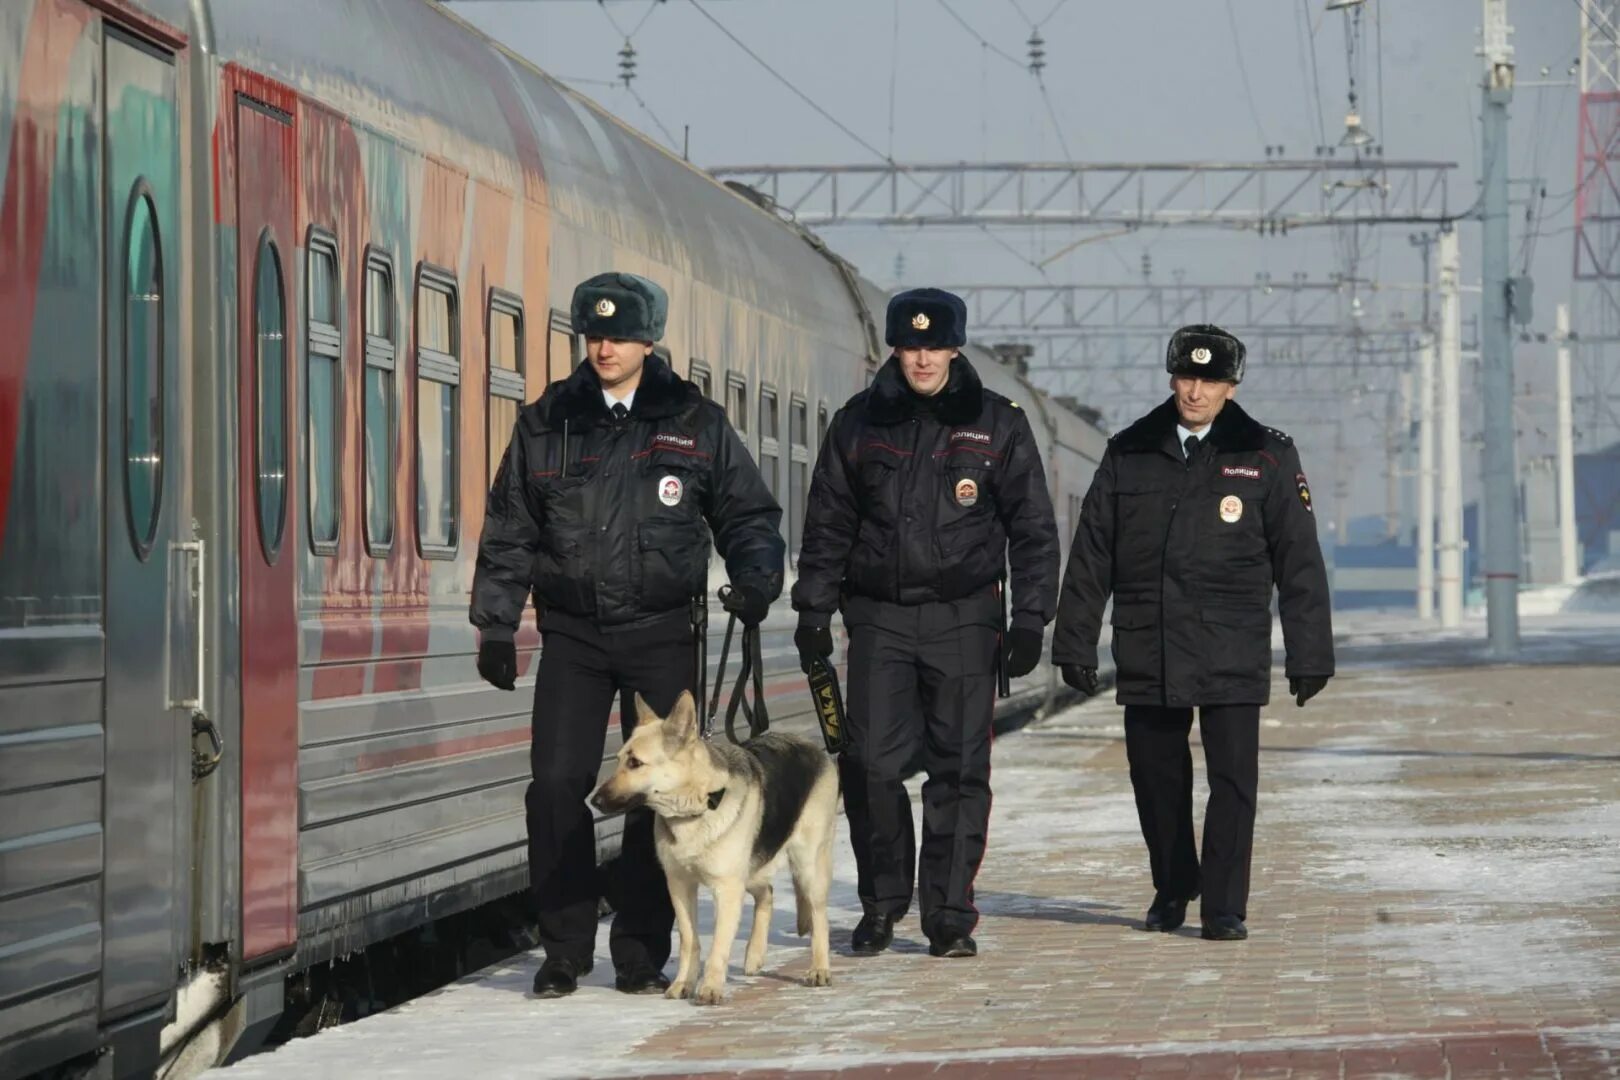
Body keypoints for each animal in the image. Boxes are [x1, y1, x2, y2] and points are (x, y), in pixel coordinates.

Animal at [599, 693, 848, 1003]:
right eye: (620, 759)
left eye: (635, 763)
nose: (594, 800)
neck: (697, 806)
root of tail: (812, 746)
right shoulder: (680, 886)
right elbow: (689, 940)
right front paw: (684, 983)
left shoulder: (726, 890)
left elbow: (719, 943)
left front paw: (710, 988)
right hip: (751, 870)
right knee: (767, 893)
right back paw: (755, 954)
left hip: (807, 868)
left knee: (818, 916)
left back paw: (819, 968)